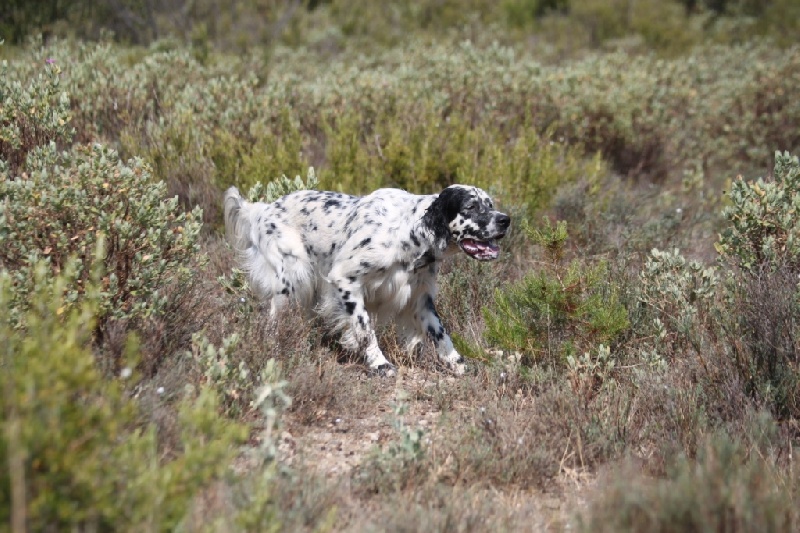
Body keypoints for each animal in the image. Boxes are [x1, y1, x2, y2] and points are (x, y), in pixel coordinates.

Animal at [223, 185, 512, 376]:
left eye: (490, 204)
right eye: (471, 207)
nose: (505, 220)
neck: (408, 233)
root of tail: (262, 209)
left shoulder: (420, 298)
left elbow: (440, 334)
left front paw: (458, 364)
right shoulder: (345, 279)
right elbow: (364, 328)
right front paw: (379, 363)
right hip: (292, 280)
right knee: (274, 319)